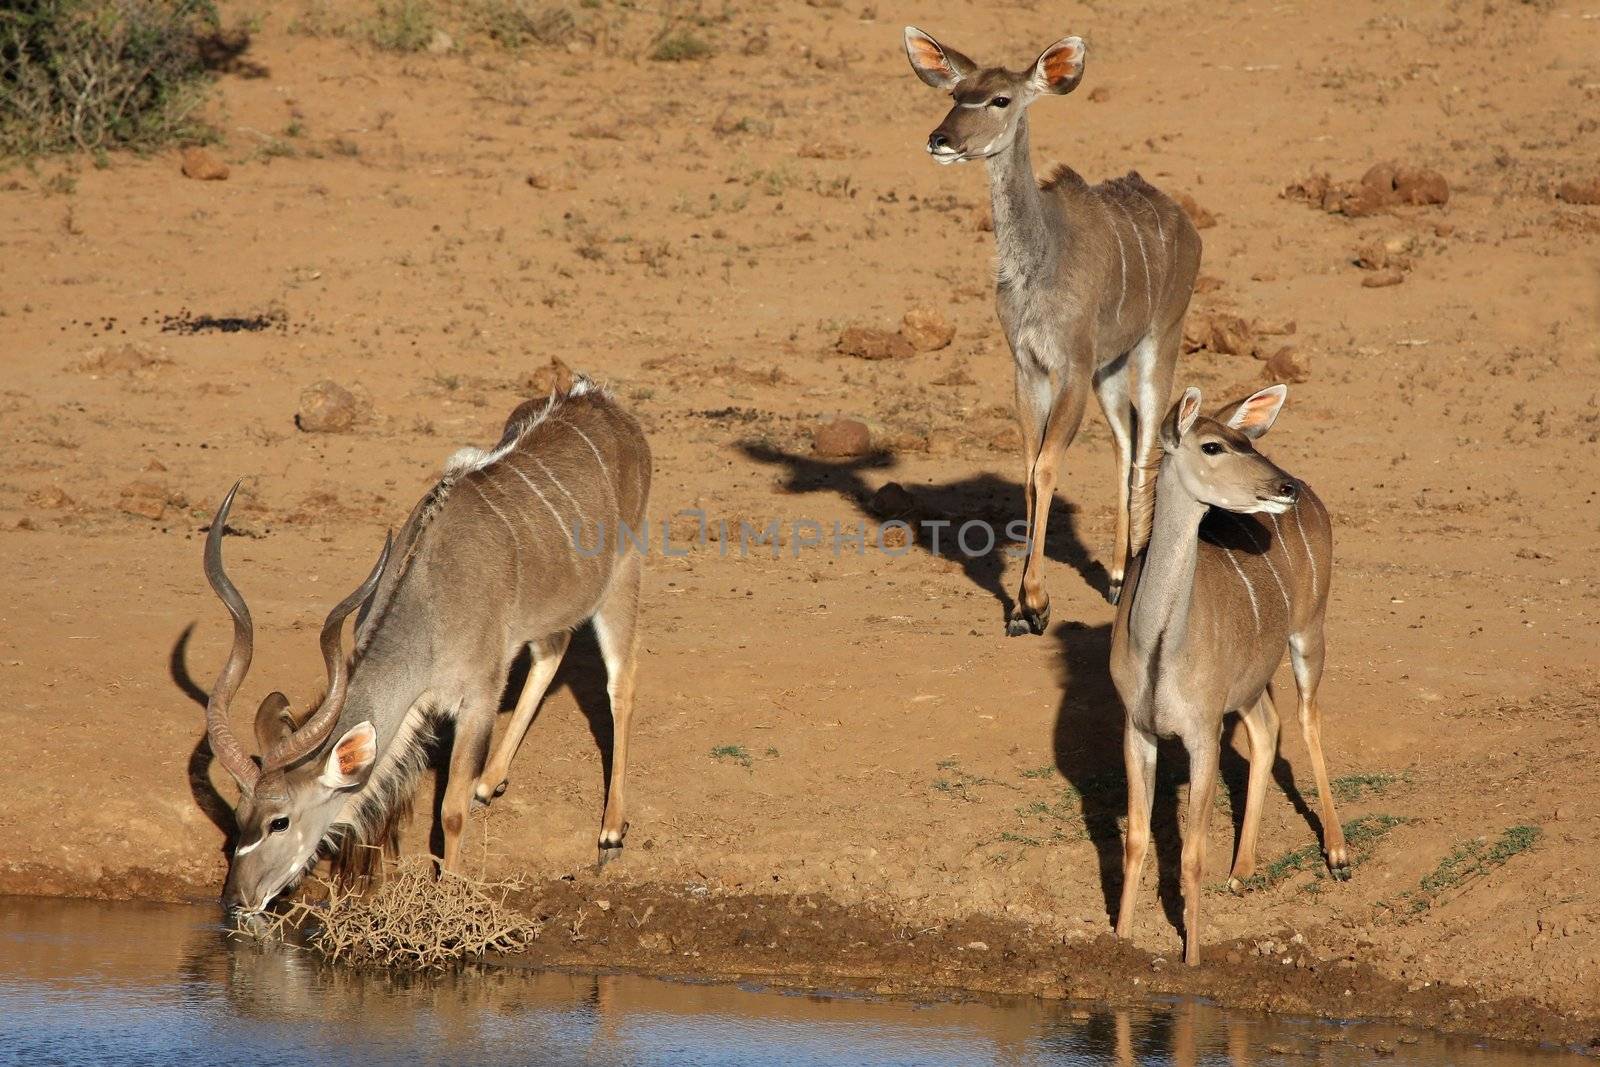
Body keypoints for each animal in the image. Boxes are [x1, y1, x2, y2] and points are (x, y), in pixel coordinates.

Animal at [201, 379, 649, 915]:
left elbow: (451, 808)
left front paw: (450, 898)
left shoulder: (479, 696)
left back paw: (610, 832)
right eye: (239, 812)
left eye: (279, 821)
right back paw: (490, 782)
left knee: (621, 686)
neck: (432, 597)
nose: (236, 898)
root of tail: (600, 399)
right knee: (553, 650)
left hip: (622, 576)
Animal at [902, 27, 1203, 633]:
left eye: (1000, 99)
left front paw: (1036, 604)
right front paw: (1019, 608)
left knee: (1146, 446)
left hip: (1158, 341)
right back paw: (1115, 577)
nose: (940, 139)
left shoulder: (1070, 366)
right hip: (1110, 369)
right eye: (956, 93)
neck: (1039, 263)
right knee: (1125, 441)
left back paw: (1134, 577)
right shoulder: (1029, 367)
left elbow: (1044, 467)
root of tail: (1188, 227)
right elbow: (1028, 467)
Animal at [1107, 385, 1344, 966]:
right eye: (1212, 445)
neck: (1159, 648)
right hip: (1251, 681)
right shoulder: (1138, 728)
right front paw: (1119, 940)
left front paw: (1192, 958)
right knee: (1267, 727)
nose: (1283, 487)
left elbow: (1192, 853)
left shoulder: (1202, 732)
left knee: (1307, 719)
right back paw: (1242, 871)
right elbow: (1136, 838)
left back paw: (1337, 854)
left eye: (1247, 442)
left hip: (1309, 630)